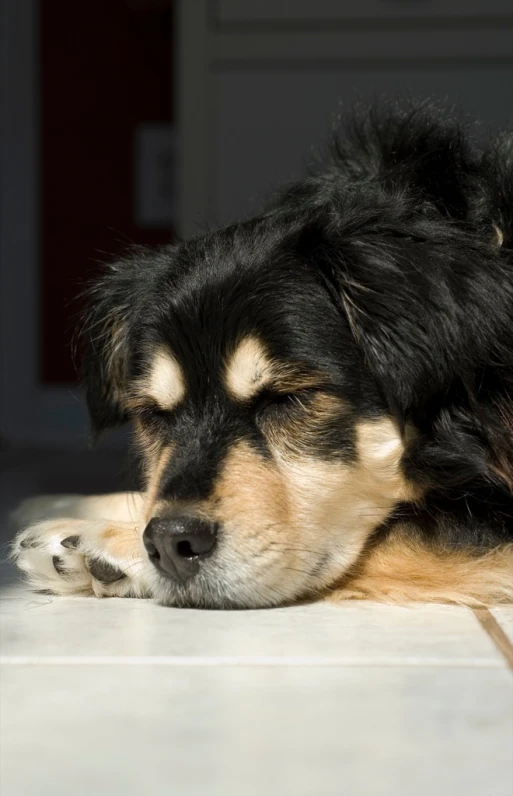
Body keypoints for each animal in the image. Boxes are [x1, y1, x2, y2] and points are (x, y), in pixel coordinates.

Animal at [12, 102, 512, 608]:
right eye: (154, 416)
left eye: (287, 399)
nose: (171, 544)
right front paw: (66, 504)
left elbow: (393, 536)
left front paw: (100, 537)